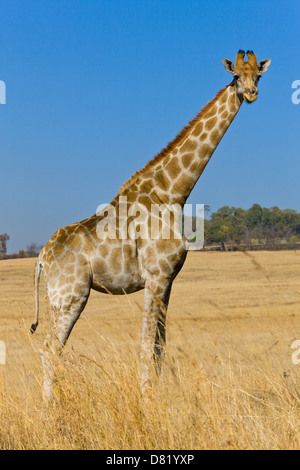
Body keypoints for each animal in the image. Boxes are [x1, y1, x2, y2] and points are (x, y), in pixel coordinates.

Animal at [31, 49, 270, 400]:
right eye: (237, 76)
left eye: (259, 75)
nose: (252, 94)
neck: (172, 192)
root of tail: (41, 258)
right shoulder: (156, 277)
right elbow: (146, 345)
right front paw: (148, 401)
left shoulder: (168, 281)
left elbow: (160, 347)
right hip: (70, 294)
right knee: (50, 347)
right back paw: (51, 408)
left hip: (60, 297)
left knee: (51, 347)